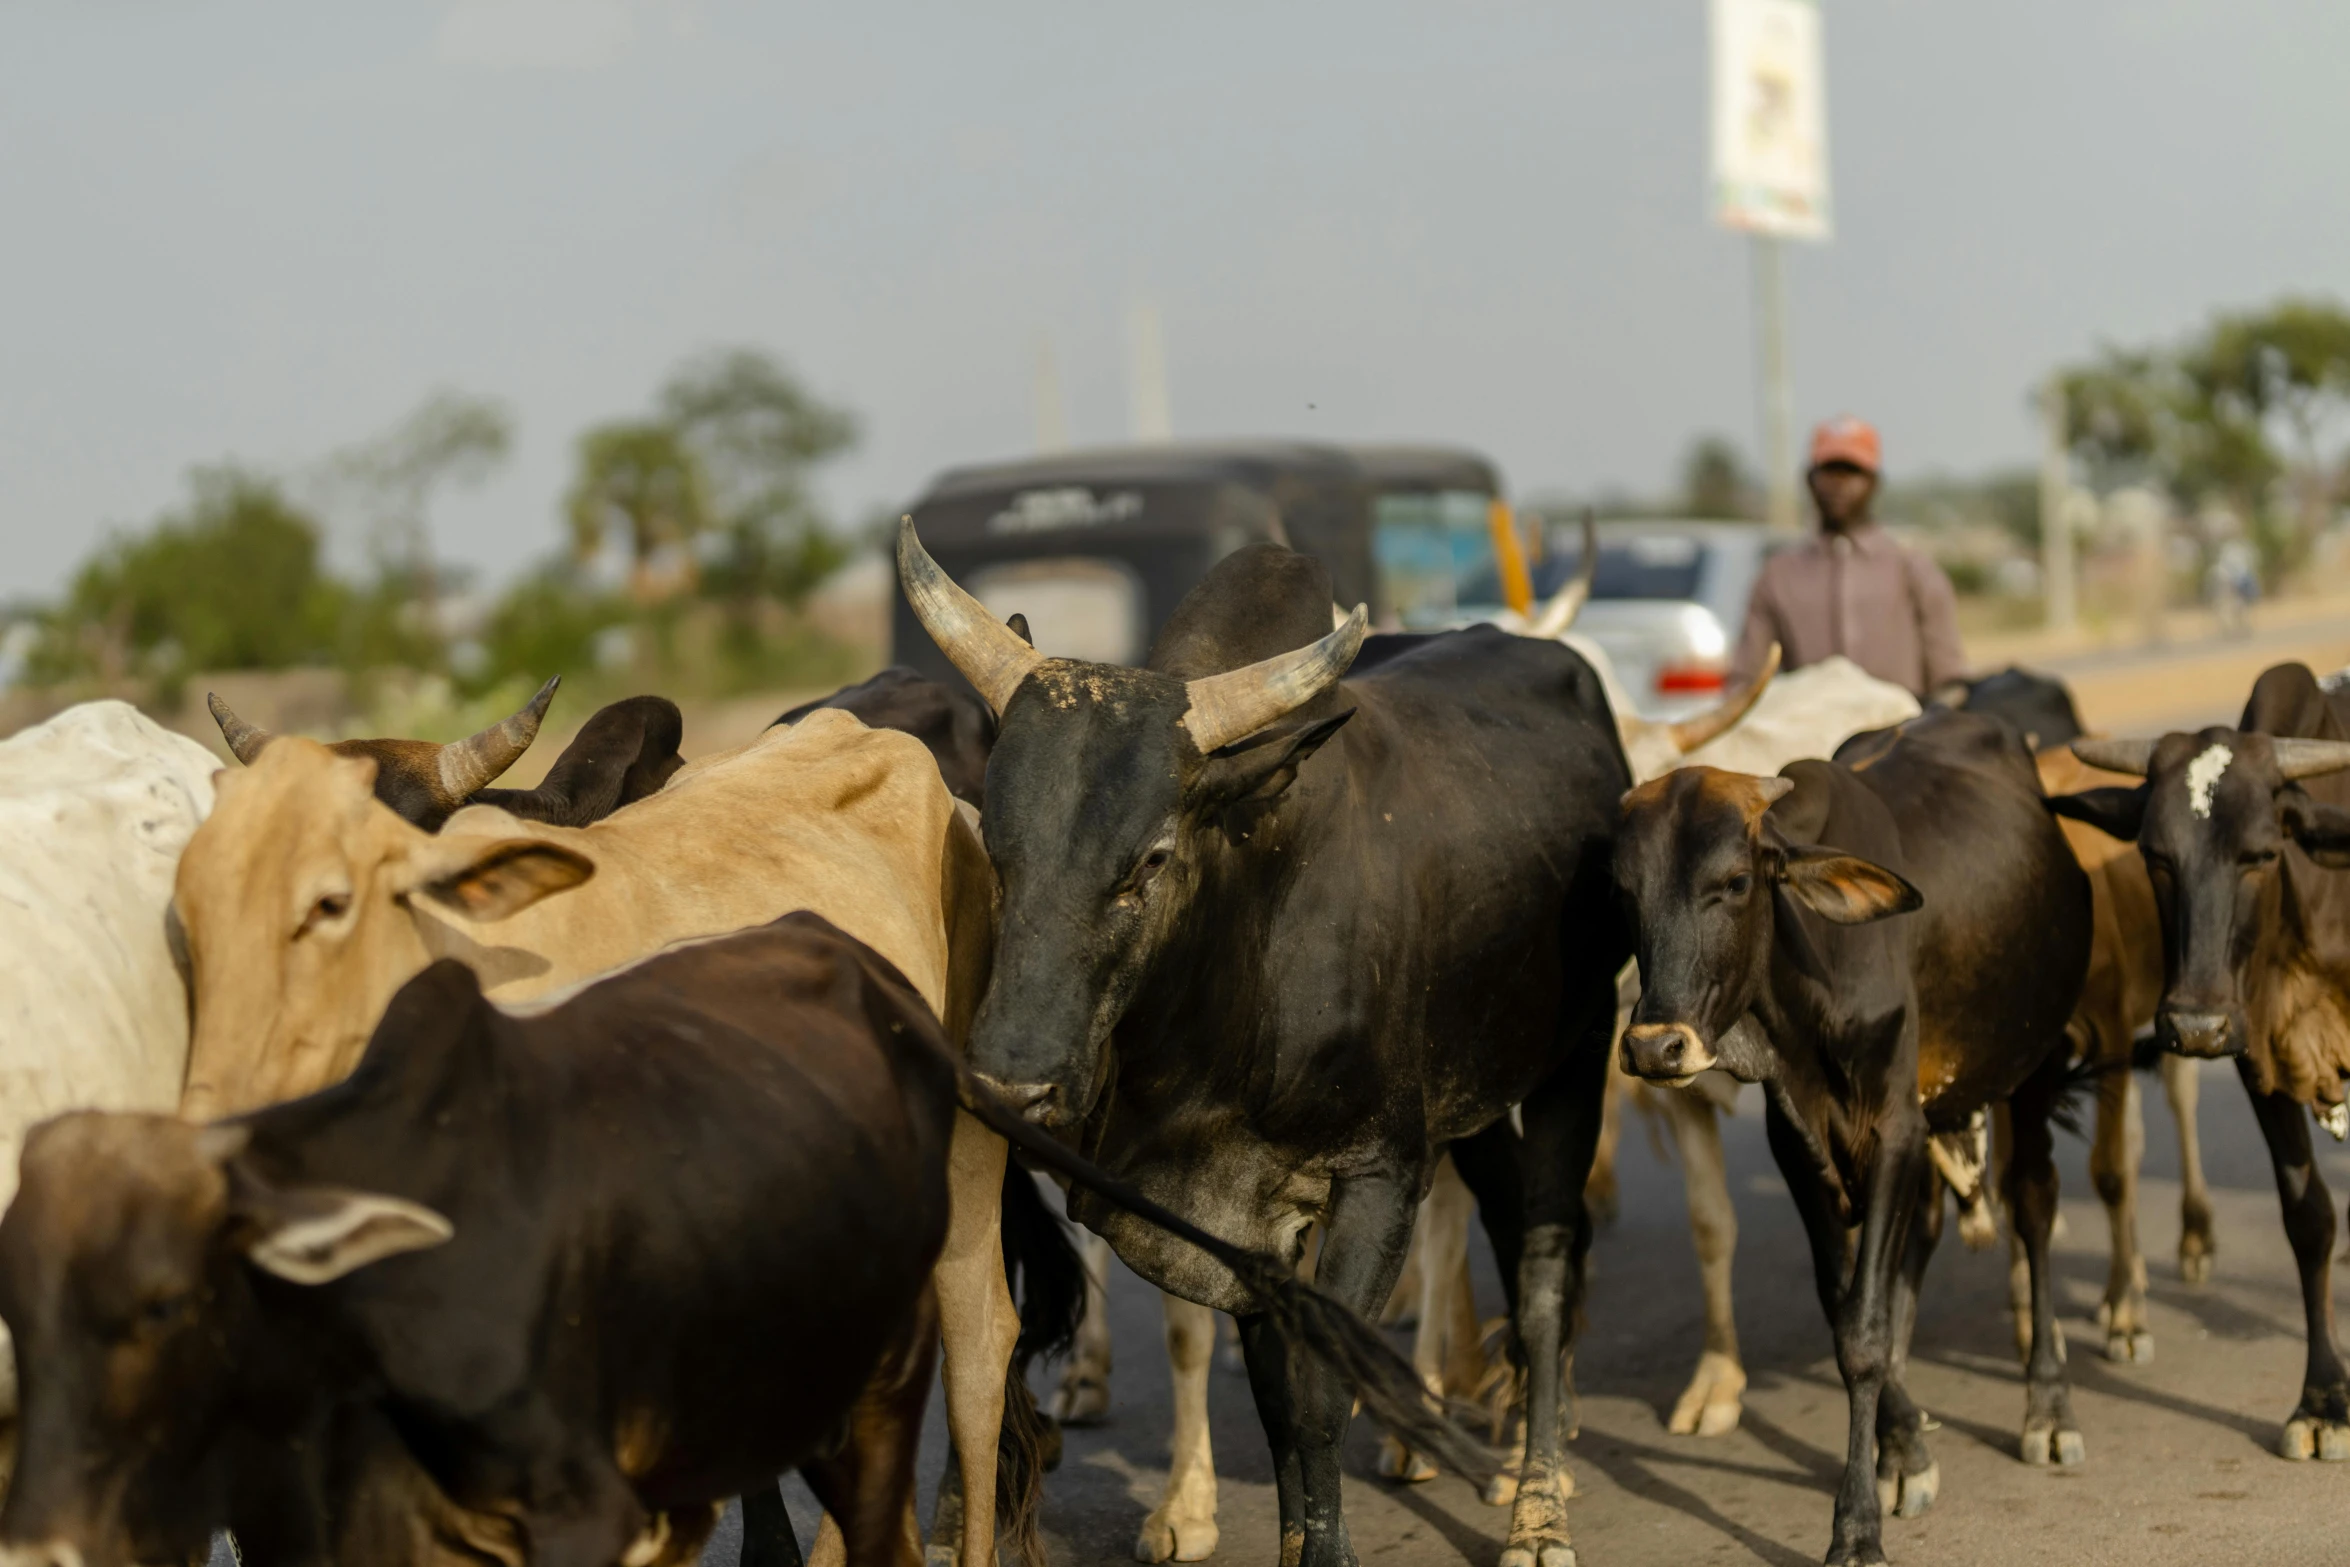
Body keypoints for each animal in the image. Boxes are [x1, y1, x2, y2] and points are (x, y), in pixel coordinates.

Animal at [888, 526, 1626, 1567]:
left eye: (1153, 857)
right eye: (995, 837)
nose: (1013, 1081)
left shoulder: (1380, 1176)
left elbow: (1321, 1391)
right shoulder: (1241, 1223)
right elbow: (1277, 1398)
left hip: (1577, 1055)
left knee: (1547, 1263)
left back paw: (1539, 1506)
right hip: (1476, 1099)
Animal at [1616, 714, 2096, 1567]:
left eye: (1734, 883)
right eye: (1624, 892)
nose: (1653, 1046)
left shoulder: (1897, 1128)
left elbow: (1863, 1333)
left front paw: (1856, 1526)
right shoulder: (1799, 1145)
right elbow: (1845, 1308)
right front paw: (1900, 1446)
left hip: (2031, 1064)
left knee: (2034, 1206)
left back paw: (2048, 1406)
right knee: (1926, 1231)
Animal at [2049, 662, 2350, 1456]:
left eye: (2262, 854)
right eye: (2155, 856)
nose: (2192, 1022)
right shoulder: (2255, 1058)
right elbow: (2308, 1217)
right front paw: (2323, 1400)